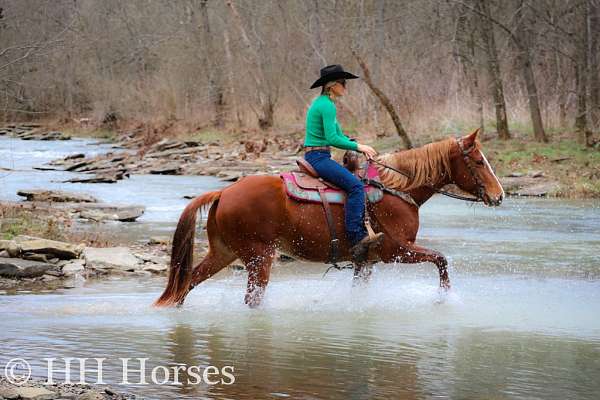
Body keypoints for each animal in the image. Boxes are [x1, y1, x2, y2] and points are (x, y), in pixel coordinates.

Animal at [154, 130, 502, 308]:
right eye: (477, 161)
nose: (499, 195)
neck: (396, 189)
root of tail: (224, 192)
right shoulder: (397, 251)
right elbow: (441, 259)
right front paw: (445, 298)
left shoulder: (366, 261)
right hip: (259, 257)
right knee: (251, 298)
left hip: (224, 252)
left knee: (187, 282)